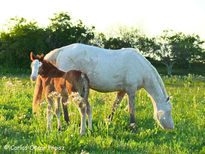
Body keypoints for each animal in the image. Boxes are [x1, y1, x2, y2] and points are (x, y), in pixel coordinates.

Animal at [32, 42, 175, 131]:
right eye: (168, 111)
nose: (171, 128)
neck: (140, 66)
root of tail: (61, 50)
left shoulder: (122, 91)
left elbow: (115, 105)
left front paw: (108, 121)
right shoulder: (131, 90)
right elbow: (131, 109)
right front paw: (133, 127)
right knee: (63, 102)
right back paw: (67, 122)